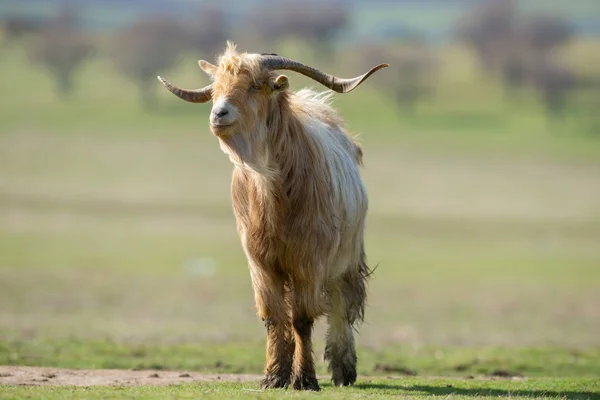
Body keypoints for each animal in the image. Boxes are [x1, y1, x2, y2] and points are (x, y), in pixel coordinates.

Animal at [157, 41, 386, 390]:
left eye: (254, 85)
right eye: (216, 88)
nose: (219, 114)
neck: (272, 195)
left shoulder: (309, 259)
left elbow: (302, 319)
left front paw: (304, 379)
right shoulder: (260, 261)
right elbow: (273, 317)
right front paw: (274, 375)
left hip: (345, 257)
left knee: (341, 304)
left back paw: (343, 370)